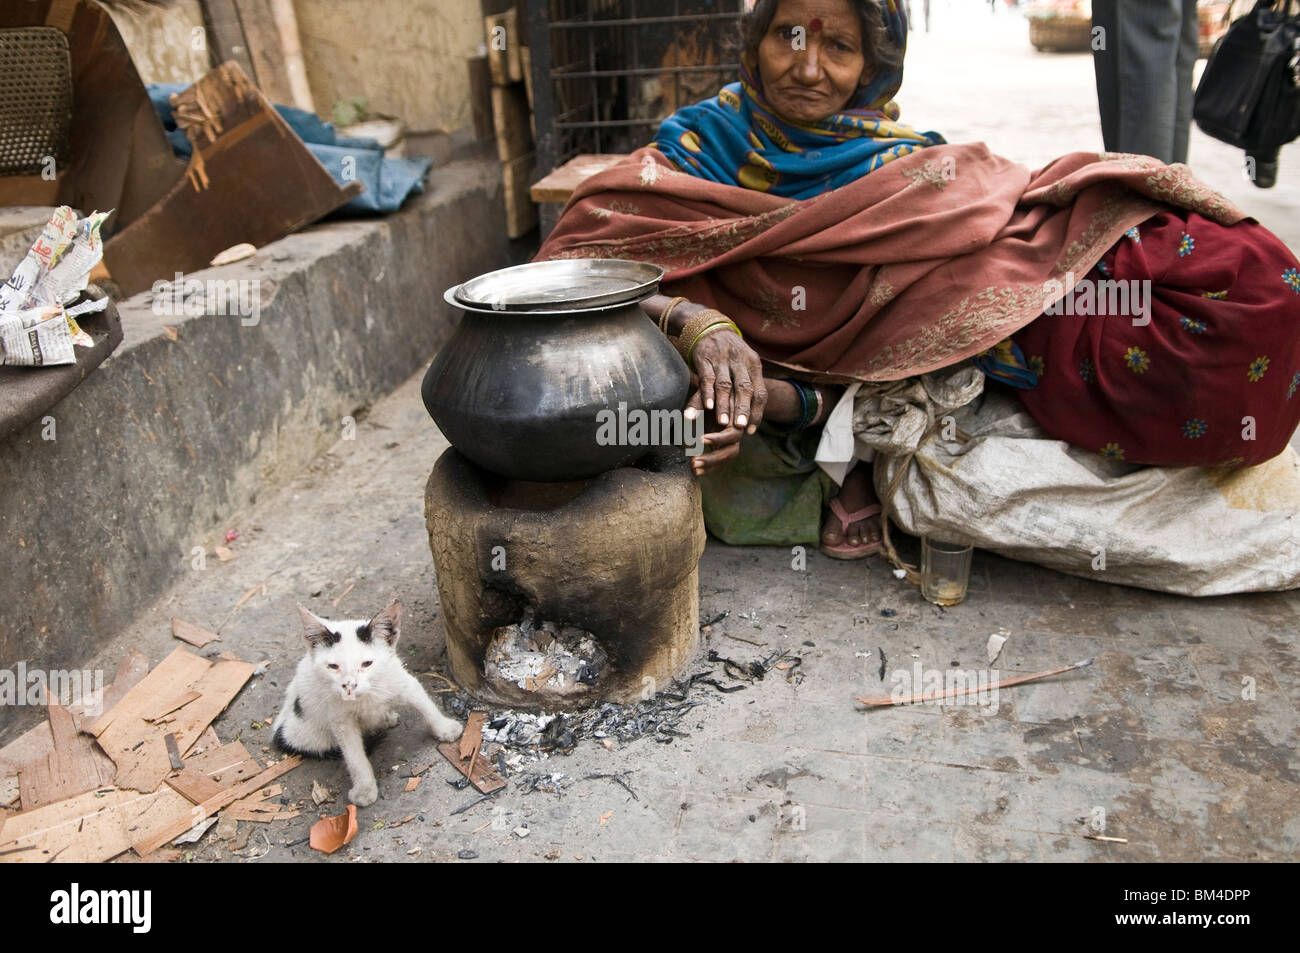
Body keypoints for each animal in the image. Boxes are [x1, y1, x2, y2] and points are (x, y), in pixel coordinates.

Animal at [269, 598, 462, 806]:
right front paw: (364, 788)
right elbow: (354, 756)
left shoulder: (400, 680)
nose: (349, 685)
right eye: (333, 666)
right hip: (305, 734)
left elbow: (425, 705)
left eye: (367, 664)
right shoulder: (340, 719)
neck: (366, 698)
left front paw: (445, 728)